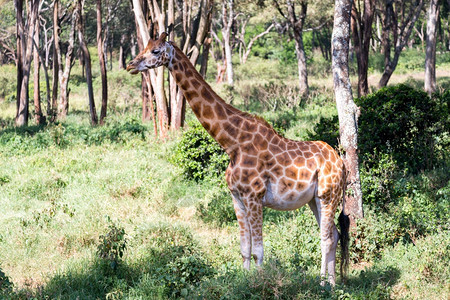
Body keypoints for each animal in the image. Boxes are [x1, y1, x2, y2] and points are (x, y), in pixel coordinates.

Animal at [127, 32, 352, 286]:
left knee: (326, 238)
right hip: (315, 199)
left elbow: (258, 251)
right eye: (145, 46)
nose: (130, 65)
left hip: (328, 194)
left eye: (155, 51)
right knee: (334, 234)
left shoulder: (254, 196)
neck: (231, 142)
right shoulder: (237, 197)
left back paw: (323, 284)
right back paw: (332, 283)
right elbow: (244, 249)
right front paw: (242, 283)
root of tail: (342, 163)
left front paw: (262, 284)